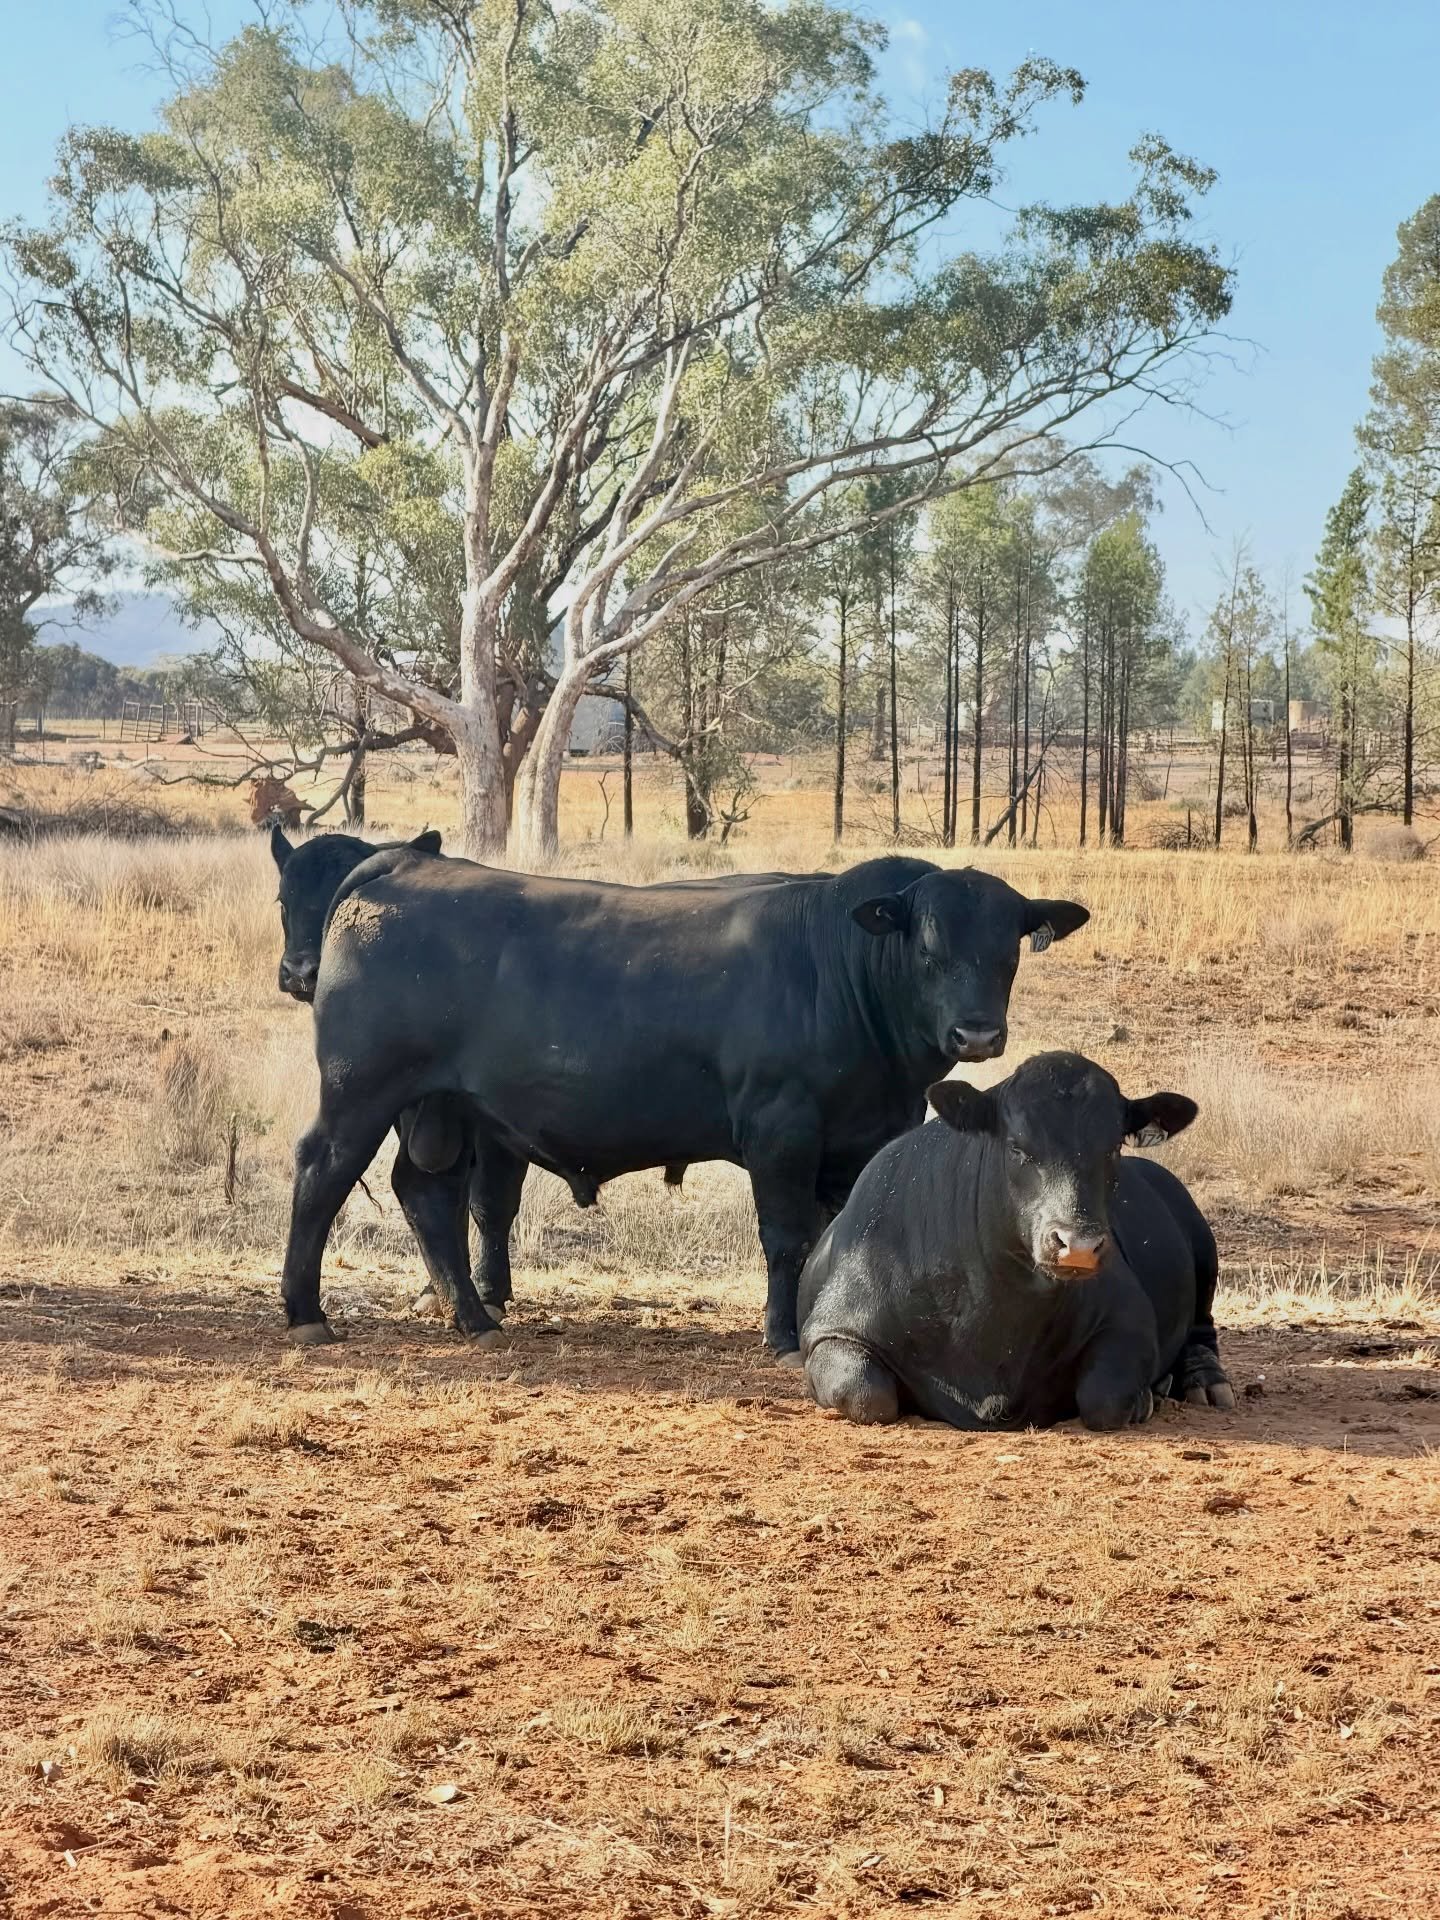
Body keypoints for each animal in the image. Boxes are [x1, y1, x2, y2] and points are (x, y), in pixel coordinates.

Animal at [278, 849, 1090, 1355]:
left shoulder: (861, 1138)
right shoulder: (781, 1129)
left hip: (442, 1106)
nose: (977, 1032)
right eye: (927, 947)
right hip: (362, 1089)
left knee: (427, 1193)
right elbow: (787, 1236)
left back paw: (472, 1317)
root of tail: (403, 865)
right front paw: (782, 1336)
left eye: (1010, 950)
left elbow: (843, 1233)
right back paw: (305, 1313)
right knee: (323, 1171)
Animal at [798, 1050, 1235, 1430]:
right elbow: (866, 1395)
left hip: (1203, 1251)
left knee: (1202, 1331)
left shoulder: (1129, 1318)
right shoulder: (831, 1331)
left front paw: (1143, 1398)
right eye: (1017, 1147)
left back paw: (1202, 1382)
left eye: (1113, 1147)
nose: (1078, 1245)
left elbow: (1104, 1398)